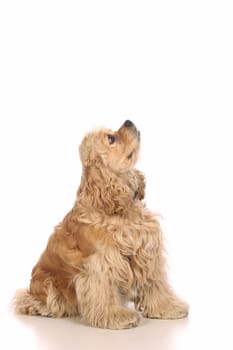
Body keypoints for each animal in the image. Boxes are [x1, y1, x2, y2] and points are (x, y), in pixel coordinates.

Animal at [12, 119, 188, 328]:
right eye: (111, 138)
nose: (128, 121)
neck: (118, 207)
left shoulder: (148, 252)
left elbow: (156, 284)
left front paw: (168, 308)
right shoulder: (101, 263)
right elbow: (104, 291)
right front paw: (117, 317)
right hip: (48, 284)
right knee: (29, 300)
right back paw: (40, 308)